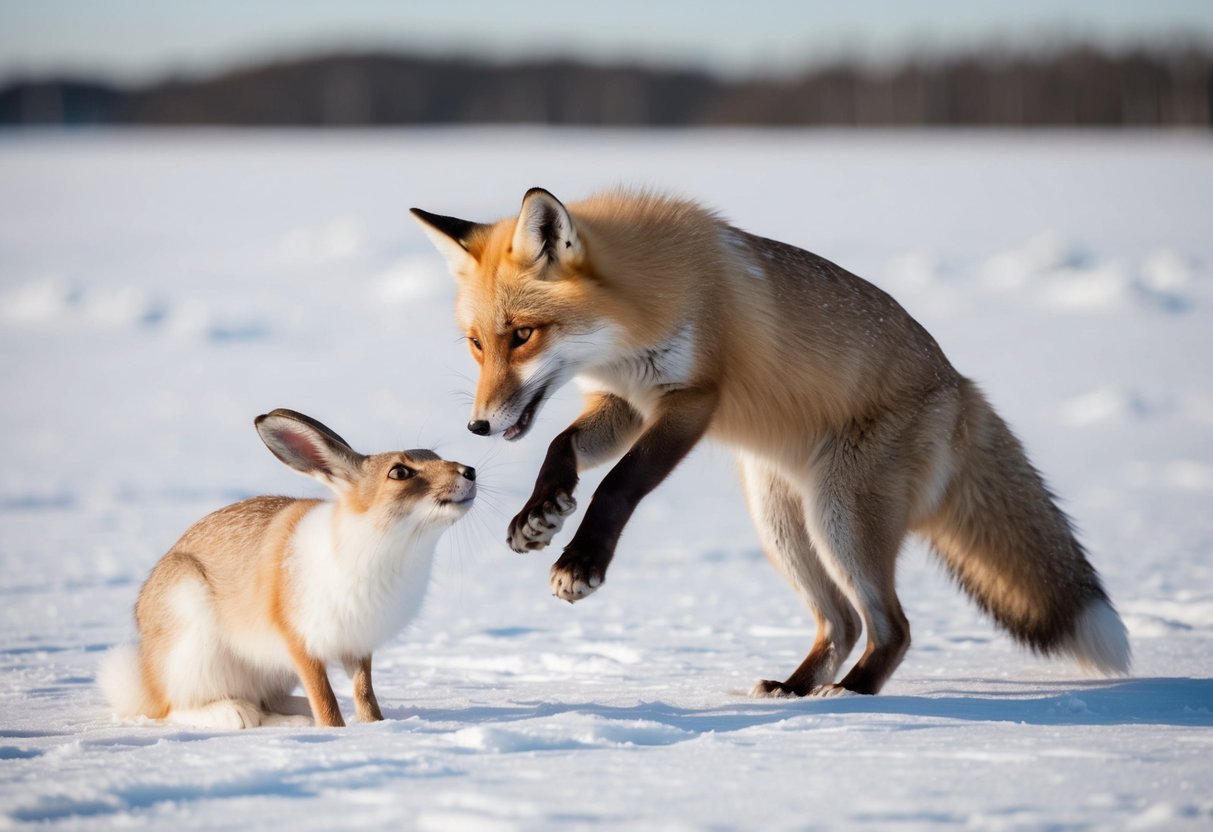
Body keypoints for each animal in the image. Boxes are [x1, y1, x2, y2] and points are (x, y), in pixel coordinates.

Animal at [99, 408, 476, 729]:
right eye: (400, 473)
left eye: (435, 455)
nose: (469, 472)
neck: (382, 540)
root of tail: (147, 676)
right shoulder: (299, 642)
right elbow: (324, 697)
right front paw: (335, 730)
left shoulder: (358, 646)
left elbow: (364, 692)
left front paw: (374, 725)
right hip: (191, 633)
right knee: (174, 708)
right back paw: (235, 713)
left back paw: (294, 717)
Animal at [410, 187, 1131, 696]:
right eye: (476, 344)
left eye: (523, 335)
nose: (477, 427)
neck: (645, 303)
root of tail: (960, 387)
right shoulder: (626, 403)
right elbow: (560, 446)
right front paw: (540, 514)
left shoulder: (691, 399)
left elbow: (617, 485)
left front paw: (581, 564)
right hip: (781, 521)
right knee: (841, 622)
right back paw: (795, 686)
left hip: (838, 515)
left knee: (892, 627)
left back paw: (851, 695)